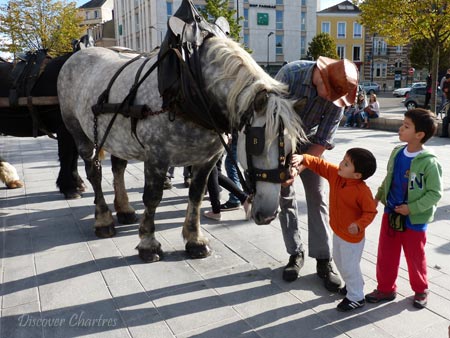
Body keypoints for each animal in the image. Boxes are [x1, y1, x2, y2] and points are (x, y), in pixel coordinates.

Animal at [58, 24, 308, 262]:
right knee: (94, 172)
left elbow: (196, 195)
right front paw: (148, 244)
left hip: (117, 138)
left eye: (292, 147)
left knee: (118, 168)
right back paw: (103, 220)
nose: (267, 215)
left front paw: (195, 240)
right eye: (256, 142)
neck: (190, 86)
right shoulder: (157, 157)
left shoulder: (208, 159)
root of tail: (78, 54)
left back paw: (125, 209)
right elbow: (152, 198)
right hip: (79, 131)